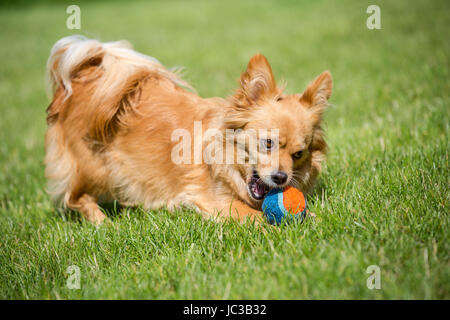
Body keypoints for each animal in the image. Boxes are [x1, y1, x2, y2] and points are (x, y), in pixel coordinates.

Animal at [44, 35, 330, 225]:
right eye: (268, 143)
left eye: (298, 154)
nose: (282, 178)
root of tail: (84, 74)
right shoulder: (217, 201)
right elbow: (254, 216)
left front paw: (312, 219)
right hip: (96, 168)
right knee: (75, 197)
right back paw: (102, 223)